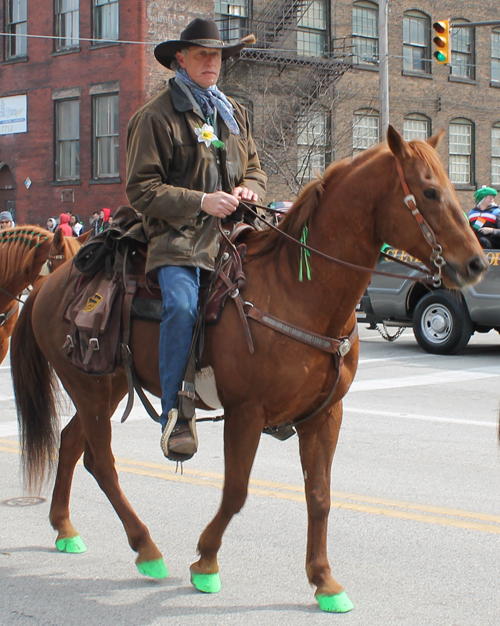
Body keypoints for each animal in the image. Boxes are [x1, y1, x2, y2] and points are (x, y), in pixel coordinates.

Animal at [11, 127, 488, 608]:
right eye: (429, 191)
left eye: (452, 187)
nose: (477, 263)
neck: (299, 292)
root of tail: (48, 283)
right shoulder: (245, 412)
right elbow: (237, 491)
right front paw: (206, 562)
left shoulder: (325, 415)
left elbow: (319, 495)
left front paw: (324, 581)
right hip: (89, 387)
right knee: (102, 461)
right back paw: (146, 549)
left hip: (106, 388)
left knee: (73, 444)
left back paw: (64, 528)